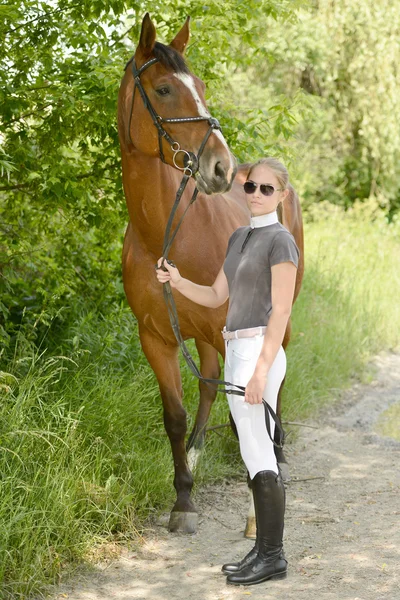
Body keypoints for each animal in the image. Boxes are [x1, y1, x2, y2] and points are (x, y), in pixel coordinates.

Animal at [117, 12, 304, 536]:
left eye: (200, 86)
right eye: (163, 89)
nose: (221, 166)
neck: (169, 235)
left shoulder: (234, 330)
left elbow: (251, 409)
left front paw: (258, 507)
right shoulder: (157, 337)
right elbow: (175, 415)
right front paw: (183, 499)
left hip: (271, 321)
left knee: (272, 385)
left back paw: (277, 458)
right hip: (201, 334)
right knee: (209, 383)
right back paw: (199, 454)